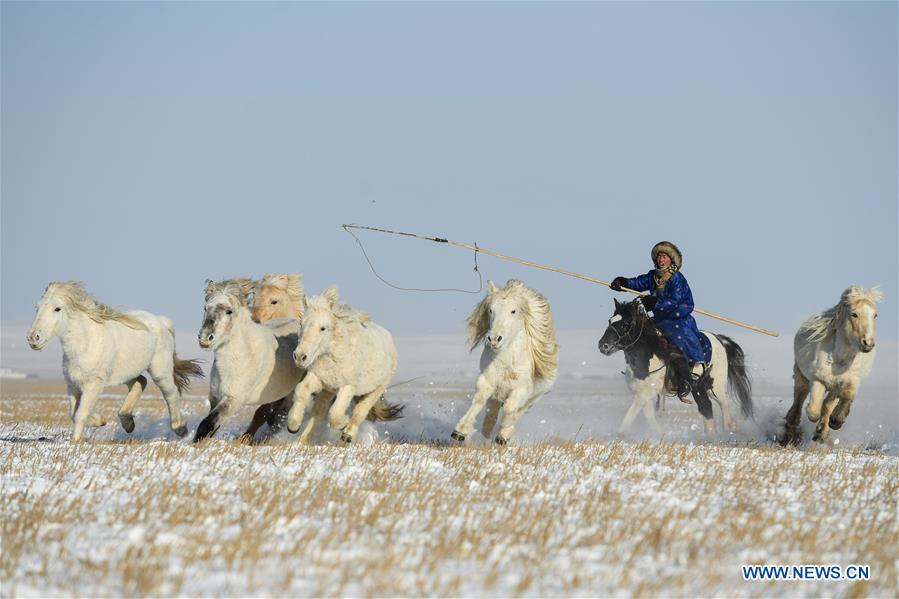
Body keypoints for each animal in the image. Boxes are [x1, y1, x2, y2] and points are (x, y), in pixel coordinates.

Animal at [27, 280, 203, 440]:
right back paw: (127, 422)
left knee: (170, 393)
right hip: (128, 372)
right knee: (140, 382)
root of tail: (162, 321)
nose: (33, 338)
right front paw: (100, 420)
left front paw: (76, 441)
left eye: (57, 308)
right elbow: (73, 413)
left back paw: (180, 429)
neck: (85, 344)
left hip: (160, 371)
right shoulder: (72, 385)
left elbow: (80, 414)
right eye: (37, 307)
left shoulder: (94, 385)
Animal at [195, 282, 308, 440]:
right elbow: (212, 427)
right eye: (206, 308)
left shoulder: (234, 399)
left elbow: (206, 425)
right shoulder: (215, 397)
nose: (205, 338)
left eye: (229, 311)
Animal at [284, 286, 398, 446]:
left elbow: (335, 413)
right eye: (301, 324)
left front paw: (343, 424)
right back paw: (302, 439)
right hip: (328, 391)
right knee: (318, 413)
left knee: (360, 411)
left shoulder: (348, 386)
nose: (300, 357)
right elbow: (302, 390)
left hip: (376, 389)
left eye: (323, 328)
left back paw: (347, 434)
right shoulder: (319, 378)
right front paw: (293, 425)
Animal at [450, 282, 564, 446]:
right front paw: (460, 431)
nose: (494, 339)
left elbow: (510, 407)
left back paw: (504, 433)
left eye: (513, 311)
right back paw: (485, 434)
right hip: (497, 395)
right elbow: (479, 400)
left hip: (534, 397)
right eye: (491, 309)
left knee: (519, 411)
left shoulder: (521, 390)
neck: (507, 363)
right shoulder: (487, 381)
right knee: (492, 413)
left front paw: (503, 433)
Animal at [784, 286, 884, 446]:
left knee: (827, 404)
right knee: (799, 398)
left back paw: (822, 432)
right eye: (854, 314)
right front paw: (826, 424)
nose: (868, 343)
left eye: (875, 315)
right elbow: (813, 411)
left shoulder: (849, 381)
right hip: (802, 376)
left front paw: (835, 421)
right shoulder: (818, 380)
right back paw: (791, 427)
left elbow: (844, 397)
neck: (840, 360)